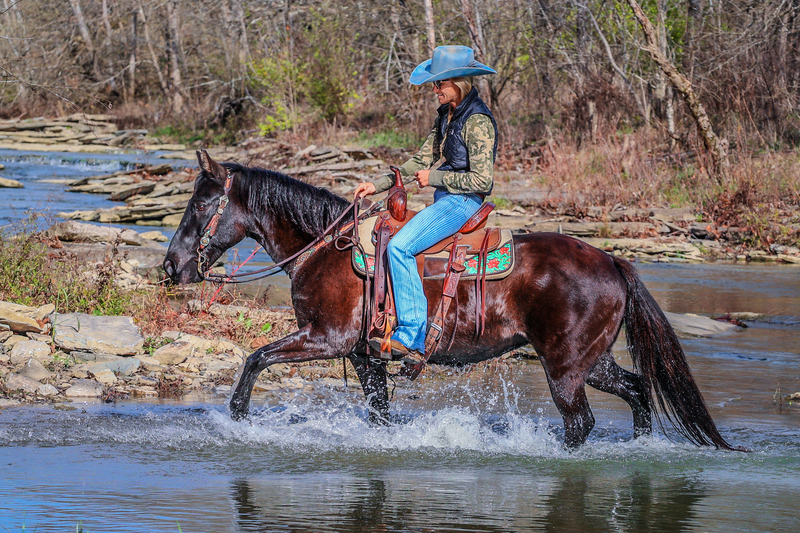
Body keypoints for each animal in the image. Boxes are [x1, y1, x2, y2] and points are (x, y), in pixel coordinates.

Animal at [164, 152, 744, 450]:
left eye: (202, 204)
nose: (171, 267)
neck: (325, 248)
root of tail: (612, 262)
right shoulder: (364, 356)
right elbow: (378, 414)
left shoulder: (324, 340)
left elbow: (254, 358)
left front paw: (238, 420)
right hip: (590, 361)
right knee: (638, 390)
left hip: (564, 367)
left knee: (580, 423)